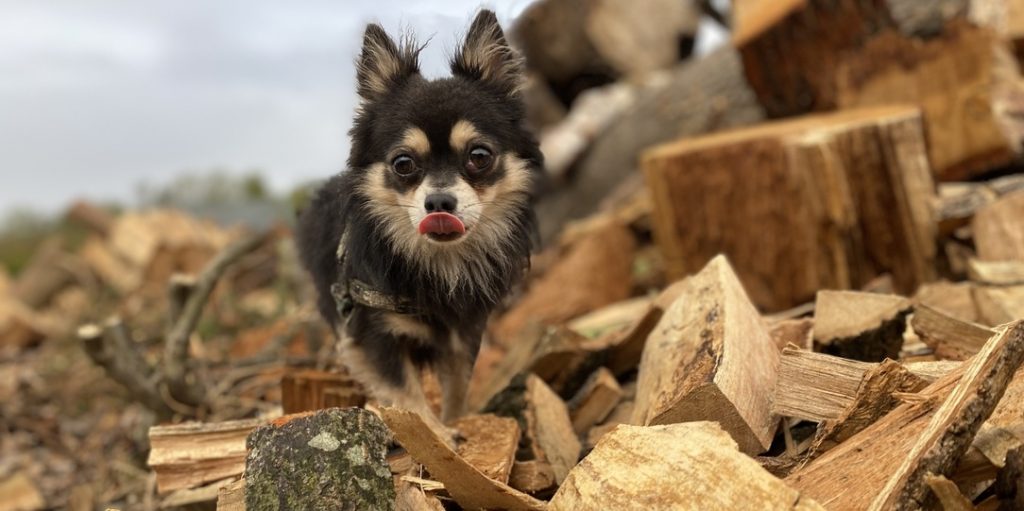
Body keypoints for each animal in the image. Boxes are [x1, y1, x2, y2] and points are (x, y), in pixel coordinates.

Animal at [294, 9, 540, 436]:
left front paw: (455, 423)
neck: (440, 265)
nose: (439, 202)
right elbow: (408, 397)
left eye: (479, 156)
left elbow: (457, 387)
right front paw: (438, 436)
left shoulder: (463, 332)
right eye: (403, 164)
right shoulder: (373, 336)